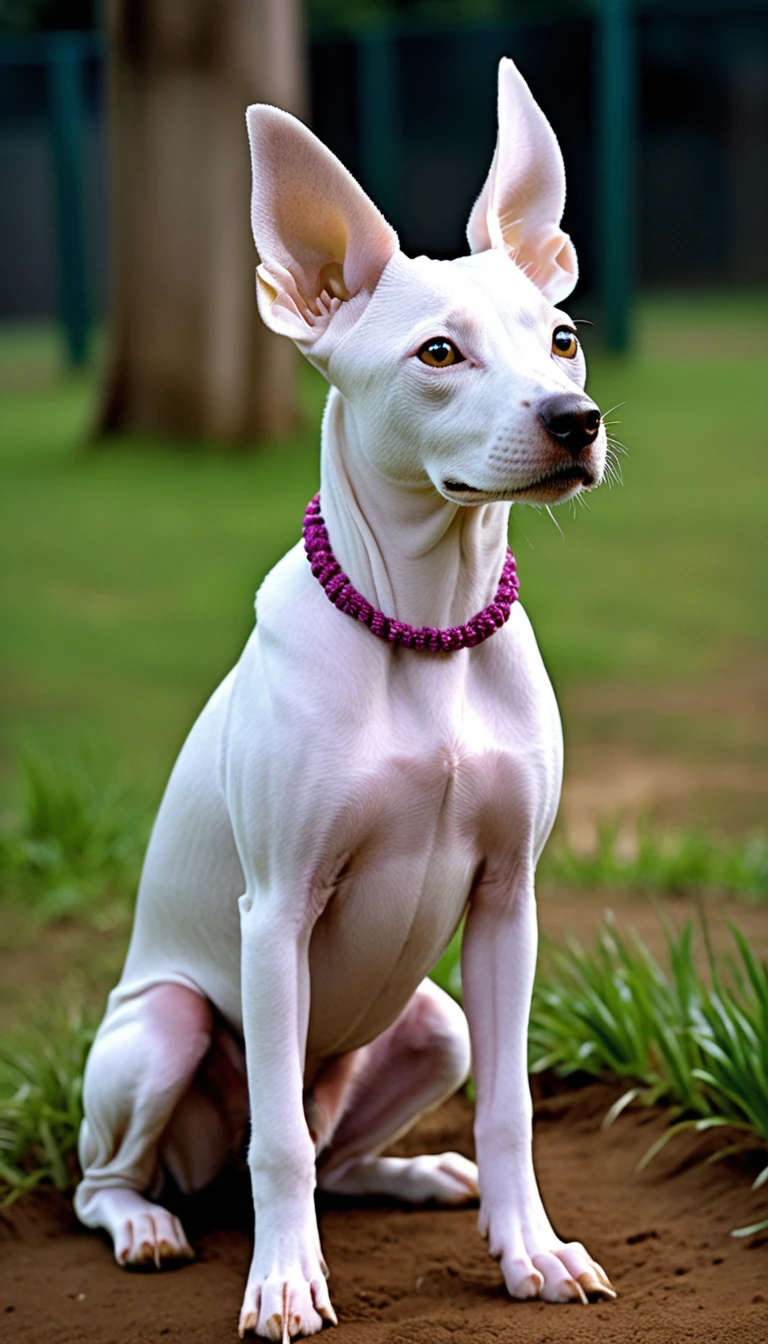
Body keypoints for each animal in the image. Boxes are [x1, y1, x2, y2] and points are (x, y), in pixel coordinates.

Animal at [76, 57, 618, 1338]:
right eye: (439, 354)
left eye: (562, 337)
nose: (576, 421)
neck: (424, 634)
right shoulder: (275, 916)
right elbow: (276, 1142)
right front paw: (283, 1283)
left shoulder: (508, 904)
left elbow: (514, 1110)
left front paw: (531, 1252)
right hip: (164, 1030)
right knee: (145, 1170)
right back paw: (150, 1226)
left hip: (436, 1023)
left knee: (333, 1152)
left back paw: (416, 1175)